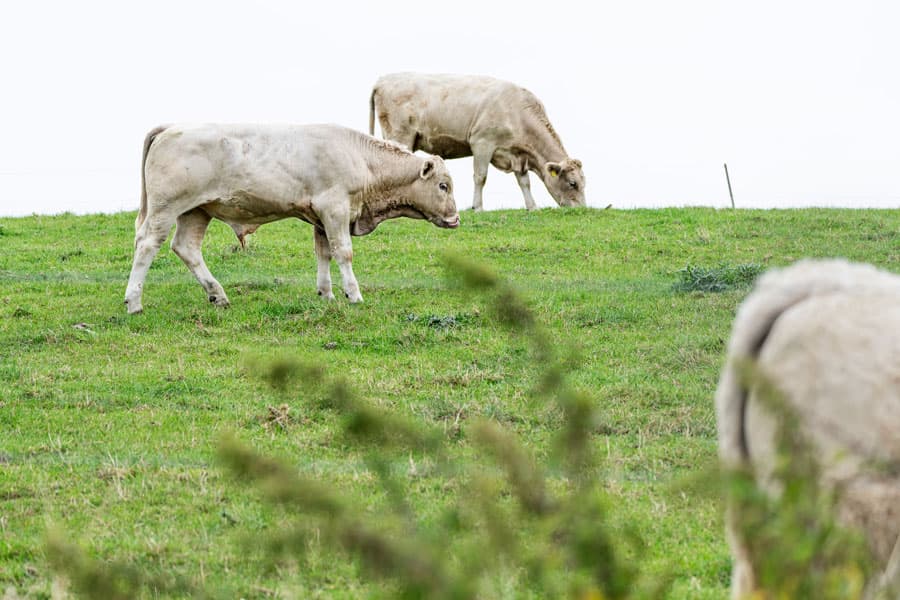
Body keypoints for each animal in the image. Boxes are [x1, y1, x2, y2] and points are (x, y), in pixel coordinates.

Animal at [124, 125, 460, 316]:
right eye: (444, 186)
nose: (455, 219)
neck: (362, 160)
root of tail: (170, 128)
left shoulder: (321, 217)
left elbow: (324, 253)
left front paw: (326, 293)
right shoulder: (335, 209)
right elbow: (343, 253)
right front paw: (354, 295)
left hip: (197, 210)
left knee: (186, 248)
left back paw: (217, 294)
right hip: (166, 208)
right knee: (147, 245)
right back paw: (134, 302)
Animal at [370, 73, 588, 211]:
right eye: (572, 183)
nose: (581, 209)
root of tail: (383, 79)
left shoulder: (518, 154)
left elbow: (524, 182)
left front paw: (532, 207)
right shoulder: (482, 142)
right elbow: (480, 177)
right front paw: (478, 207)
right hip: (400, 135)